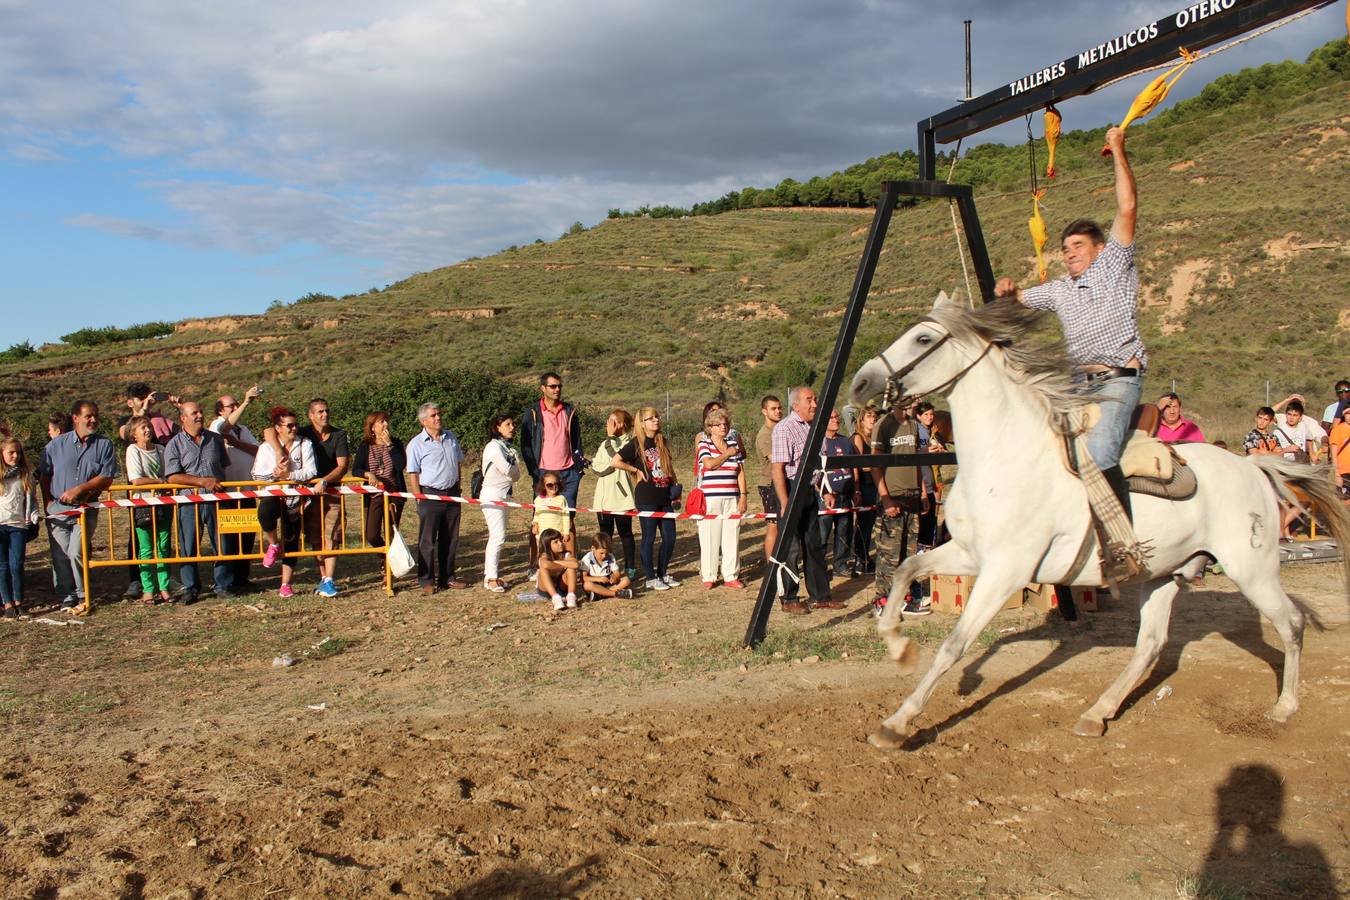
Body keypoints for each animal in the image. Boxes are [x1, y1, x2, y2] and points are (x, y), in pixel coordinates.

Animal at [847, 292, 1344, 750]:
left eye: (923, 338)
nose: (861, 381)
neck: (1008, 455)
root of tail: (1253, 467)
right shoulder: (969, 554)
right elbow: (906, 568)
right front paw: (897, 645)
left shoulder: (1005, 571)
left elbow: (954, 644)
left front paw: (897, 723)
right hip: (1164, 574)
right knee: (1150, 645)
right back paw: (1097, 713)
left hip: (1251, 570)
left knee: (1291, 623)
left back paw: (1283, 707)